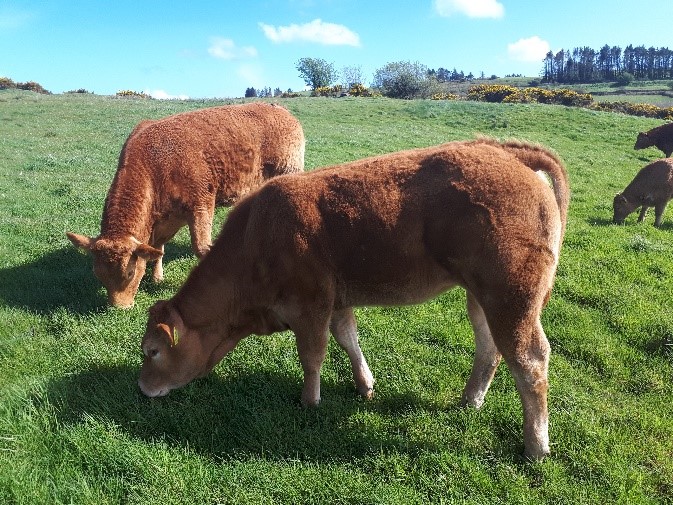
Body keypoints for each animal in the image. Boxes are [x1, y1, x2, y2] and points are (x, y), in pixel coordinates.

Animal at [64, 102, 306, 308]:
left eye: (130, 273)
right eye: (98, 274)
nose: (119, 307)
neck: (154, 166)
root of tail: (281, 110)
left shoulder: (201, 205)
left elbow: (201, 247)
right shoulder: (165, 219)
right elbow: (158, 247)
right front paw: (158, 277)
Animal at [136, 139, 568, 460]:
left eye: (153, 351)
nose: (142, 388)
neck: (256, 237)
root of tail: (504, 152)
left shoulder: (311, 302)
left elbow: (312, 355)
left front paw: (309, 401)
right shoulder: (337, 300)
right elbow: (348, 339)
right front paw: (365, 384)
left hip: (512, 296)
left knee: (529, 360)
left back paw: (536, 445)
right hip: (482, 295)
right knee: (489, 348)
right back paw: (470, 400)